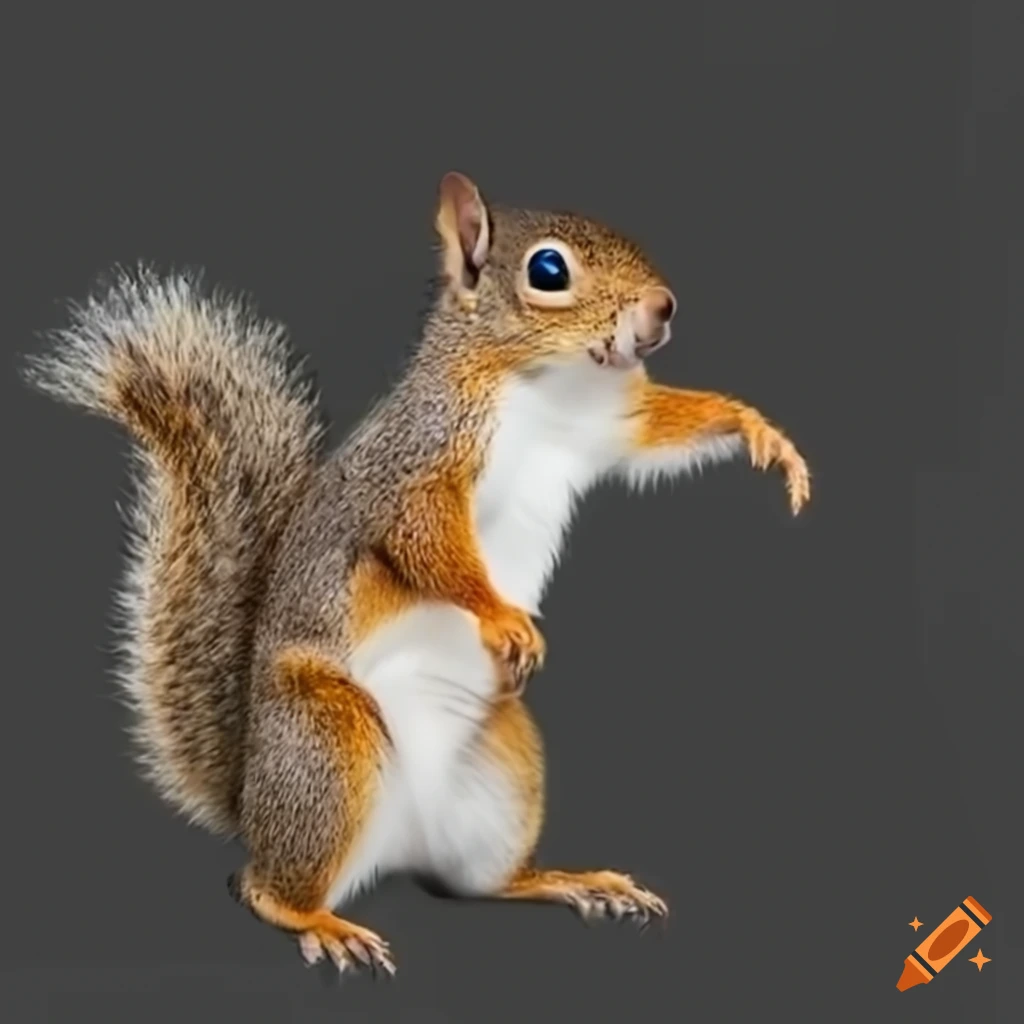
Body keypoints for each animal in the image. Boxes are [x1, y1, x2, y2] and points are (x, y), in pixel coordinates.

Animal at [23, 171, 810, 979]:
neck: (541, 384)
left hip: (504, 771)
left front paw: (759, 431)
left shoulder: (607, 426)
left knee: (481, 883)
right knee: (261, 888)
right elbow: (424, 542)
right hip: (326, 738)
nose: (663, 307)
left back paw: (570, 880)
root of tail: (252, 802)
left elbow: (662, 426)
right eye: (548, 270)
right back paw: (319, 920)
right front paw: (500, 615)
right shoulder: (422, 461)